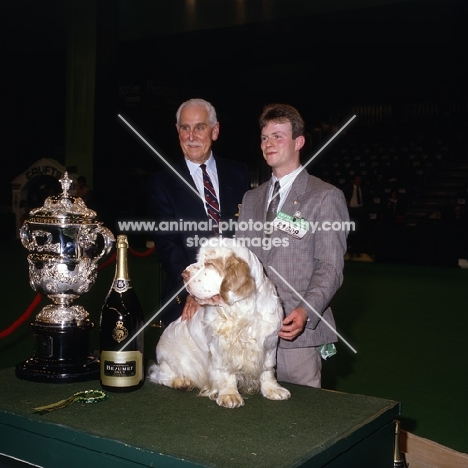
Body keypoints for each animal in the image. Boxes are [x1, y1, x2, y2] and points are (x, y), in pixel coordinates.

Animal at [148, 239, 290, 408]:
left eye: (210, 264)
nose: (183, 274)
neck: (241, 311)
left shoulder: (269, 344)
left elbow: (268, 369)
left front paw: (273, 389)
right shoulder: (220, 347)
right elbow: (226, 372)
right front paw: (229, 394)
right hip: (173, 361)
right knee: (158, 374)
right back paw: (181, 382)